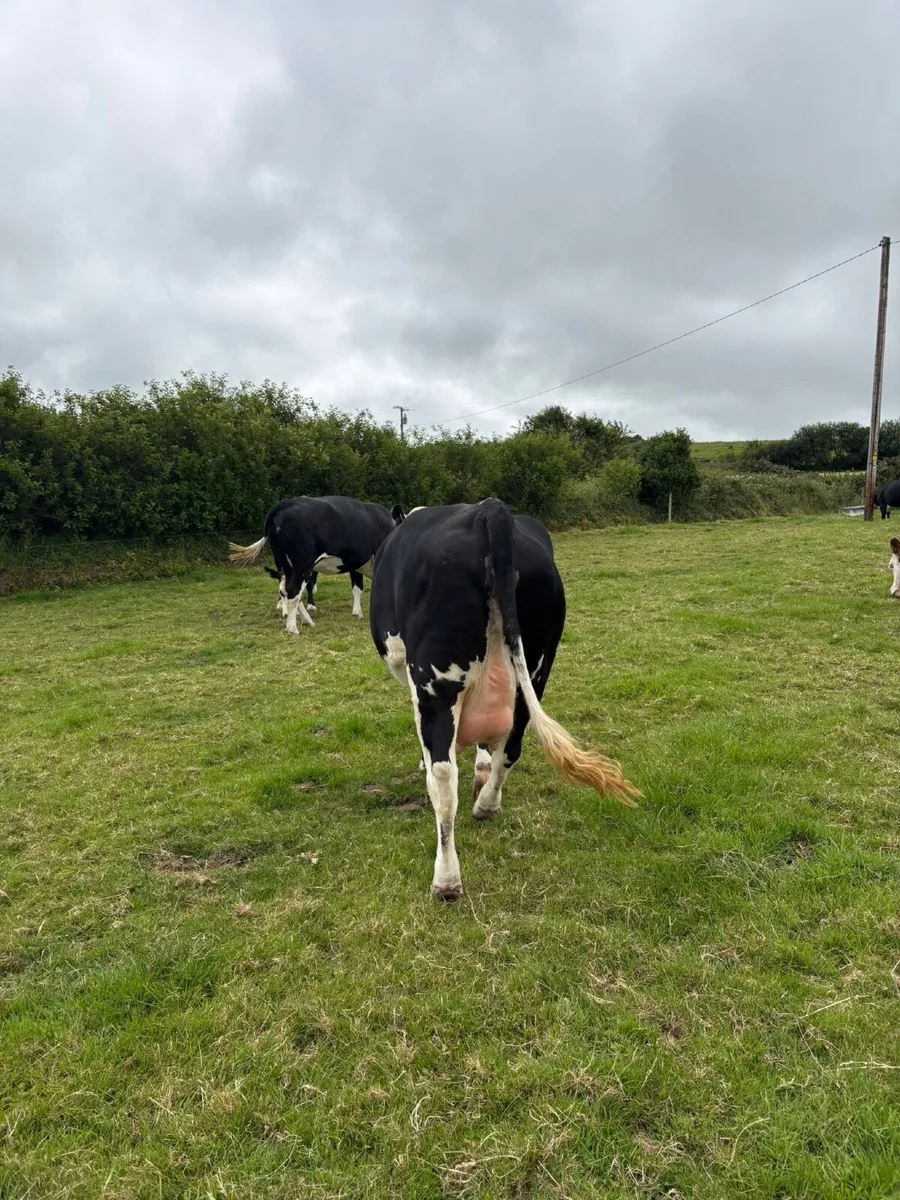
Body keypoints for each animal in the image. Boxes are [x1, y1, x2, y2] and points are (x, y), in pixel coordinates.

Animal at [228, 496, 394, 634]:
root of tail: (284, 505)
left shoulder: (356, 564)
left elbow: (357, 587)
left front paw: (357, 613)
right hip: (302, 564)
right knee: (293, 590)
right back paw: (292, 628)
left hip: (286, 564)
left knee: (287, 589)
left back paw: (306, 620)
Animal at [370, 498, 639, 899]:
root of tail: (490, 510)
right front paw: (481, 772)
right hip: (534, 673)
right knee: (511, 747)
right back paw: (487, 804)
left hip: (436, 683)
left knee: (444, 777)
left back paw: (446, 879)